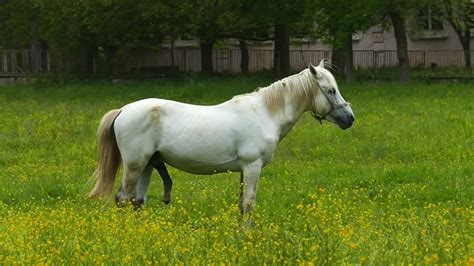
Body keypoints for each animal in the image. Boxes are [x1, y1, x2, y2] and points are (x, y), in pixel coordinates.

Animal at [90, 60, 356, 214]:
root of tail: (123, 110)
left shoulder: (244, 171)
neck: (264, 113)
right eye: (331, 90)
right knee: (123, 199)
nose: (349, 118)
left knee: (138, 201)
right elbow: (248, 204)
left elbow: (241, 204)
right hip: (135, 166)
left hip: (147, 165)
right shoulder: (252, 167)